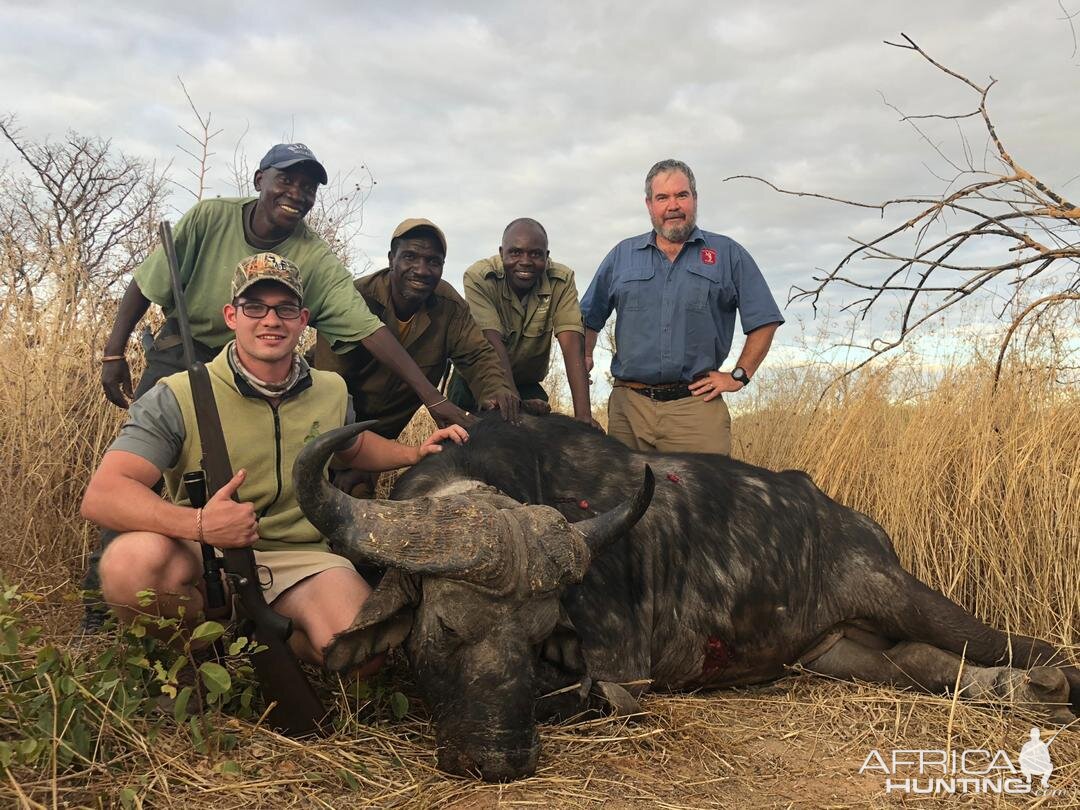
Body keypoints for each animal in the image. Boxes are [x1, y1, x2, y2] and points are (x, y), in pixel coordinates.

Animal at [291, 414, 1075, 781]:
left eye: (540, 635)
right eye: (448, 629)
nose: (501, 759)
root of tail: (848, 518)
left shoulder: (621, 667)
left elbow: (586, 694)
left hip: (898, 592)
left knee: (1017, 644)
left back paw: (1049, 684)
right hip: (840, 654)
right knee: (926, 664)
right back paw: (1014, 690)